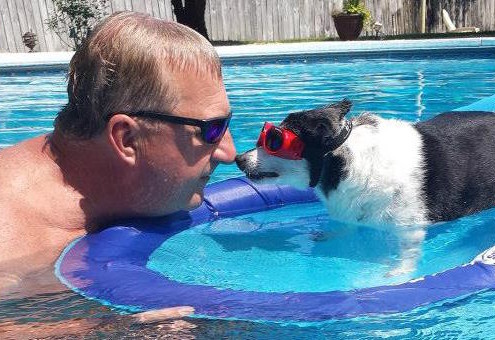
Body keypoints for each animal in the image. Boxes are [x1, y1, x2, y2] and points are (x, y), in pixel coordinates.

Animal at [234, 99, 495, 276]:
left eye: (274, 141)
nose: (238, 158)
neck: (340, 161)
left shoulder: (409, 228)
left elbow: (406, 256)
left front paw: (398, 274)